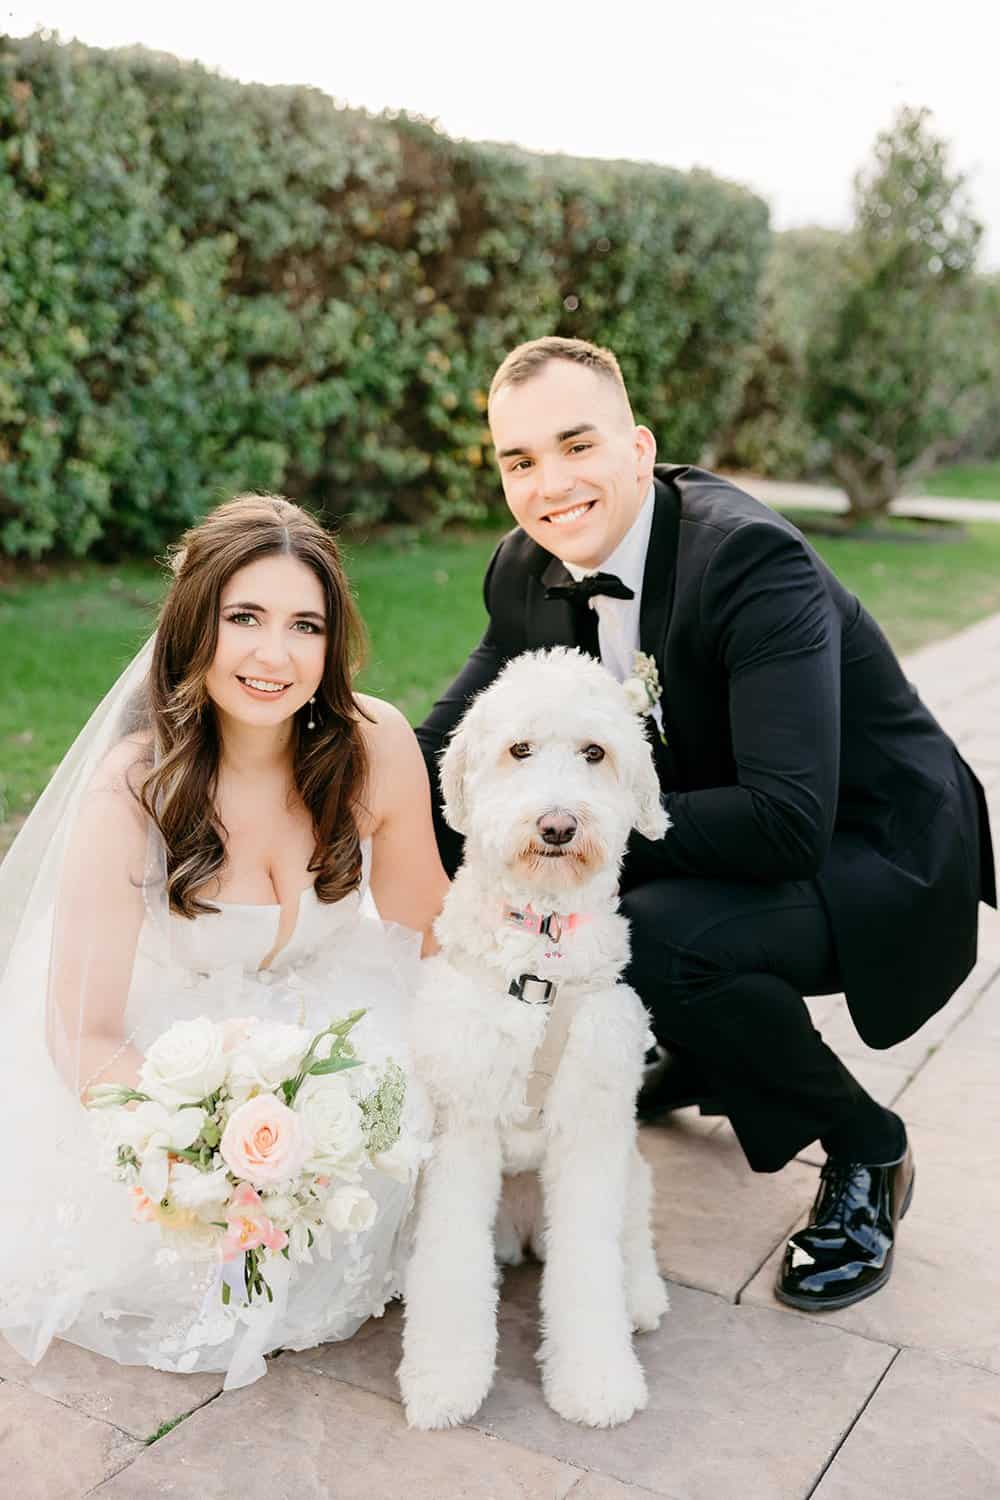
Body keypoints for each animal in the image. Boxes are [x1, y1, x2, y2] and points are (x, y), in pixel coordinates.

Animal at [398, 645, 671, 1428]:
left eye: (594, 753)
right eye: (519, 749)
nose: (557, 825)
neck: (540, 947)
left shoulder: (593, 1129)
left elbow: (590, 1260)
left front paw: (597, 1381)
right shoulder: (460, 1127)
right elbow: (449, 1260)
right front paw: (444, 1380)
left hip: (629, 1164)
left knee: (628, 1234)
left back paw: (642, 1297)